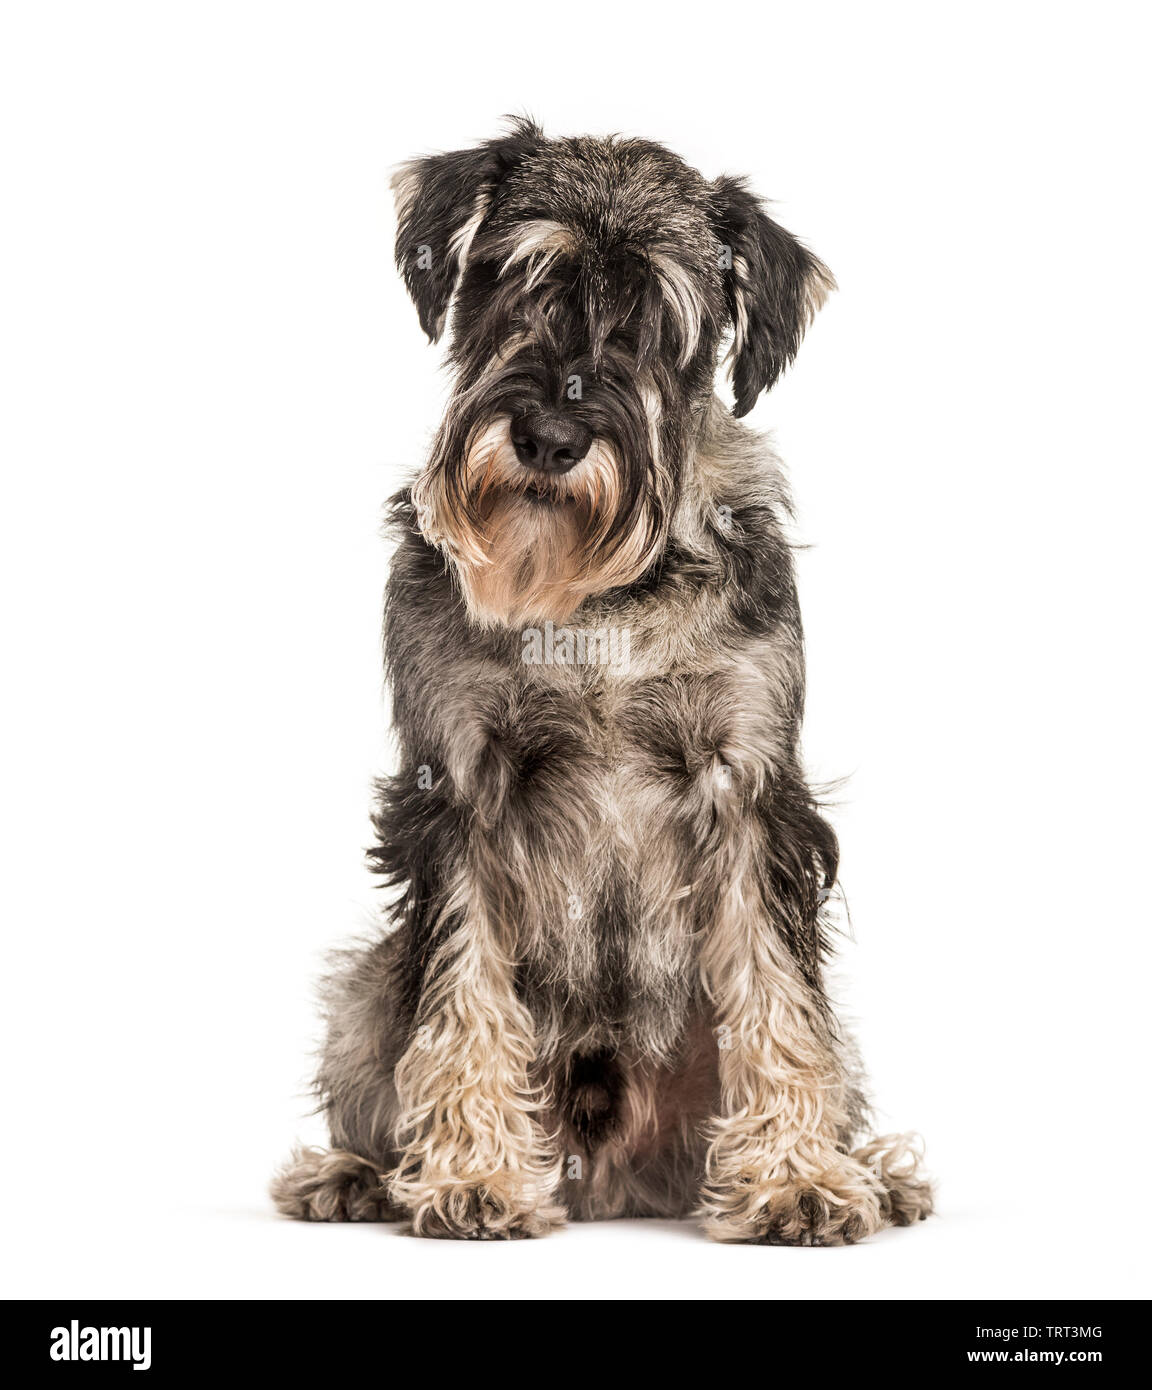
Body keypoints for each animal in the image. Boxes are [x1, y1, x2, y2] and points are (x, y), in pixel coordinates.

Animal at [272, 119, 933, 1245]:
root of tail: (617, 1182)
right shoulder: (458, 785)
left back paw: (872, 1174)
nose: (548, 437)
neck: (595, 605)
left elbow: (778, 997)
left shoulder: (752, 789)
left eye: (662, 324)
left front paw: (795, 1179)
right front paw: (476, 1176)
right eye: (514, 278)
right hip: (365, 990)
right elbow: (461, 989)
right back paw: (356, 1174)